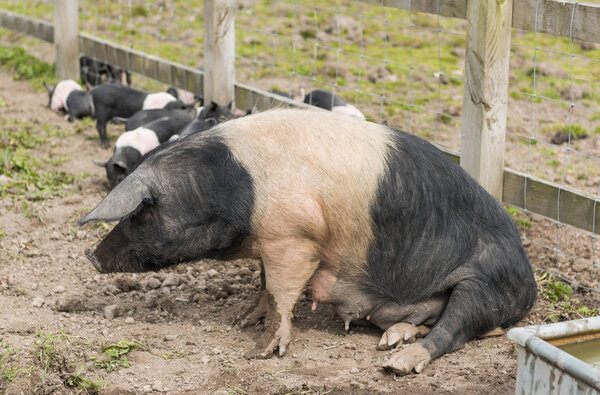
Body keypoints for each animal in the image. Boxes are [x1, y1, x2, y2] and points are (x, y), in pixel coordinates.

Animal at [78, 110, 536, 376]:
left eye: (138, 211)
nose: (92, 257)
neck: (231, 190)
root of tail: (530, 290)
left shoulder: (294, 235)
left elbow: (282, 291)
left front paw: (260, 352)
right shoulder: (270, 241)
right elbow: (264, 285)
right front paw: (240, 320)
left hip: (486, 280)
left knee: (455, 329)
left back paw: (396, 363)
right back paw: (393, 339)